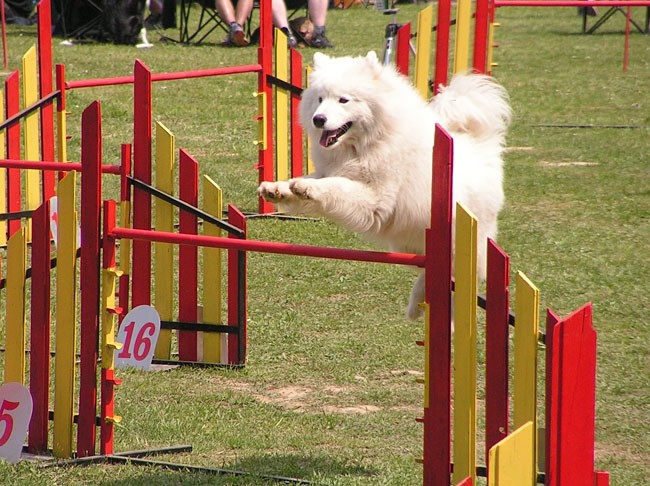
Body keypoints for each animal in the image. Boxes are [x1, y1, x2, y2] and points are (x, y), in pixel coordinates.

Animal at [256, 52, 508, 318]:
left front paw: (308, 188)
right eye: (320, 99)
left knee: (455, 277)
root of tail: (482, 146)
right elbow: (310, 179)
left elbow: (335, 186)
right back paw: (417, 304)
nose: (318, 119)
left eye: (343, 100)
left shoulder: (375, 199)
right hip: (411, 240)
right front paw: (278, 189)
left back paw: (421, 304)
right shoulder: (331, 170)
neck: (366, 144)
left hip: (460, 238)